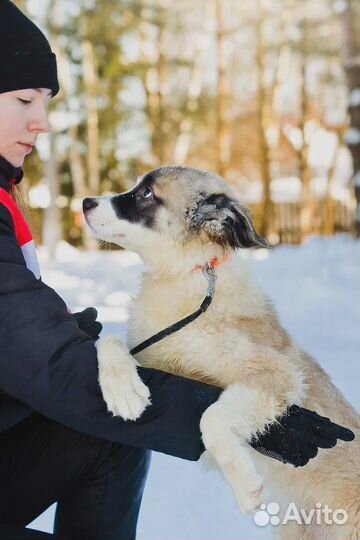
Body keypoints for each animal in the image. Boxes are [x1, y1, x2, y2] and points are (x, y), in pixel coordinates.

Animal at [83, 167, 360, 536]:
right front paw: (123, 390)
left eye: (145, 194)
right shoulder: (154, 358)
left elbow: (211, 417)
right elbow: (108, 340)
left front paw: (244, 485)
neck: (190, 277)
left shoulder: (276, 373)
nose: (85, 202)